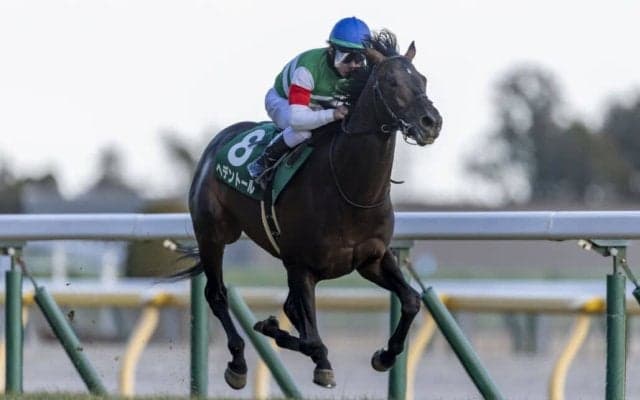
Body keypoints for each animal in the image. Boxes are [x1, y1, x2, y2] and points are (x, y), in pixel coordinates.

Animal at [173, 30, 443, 390]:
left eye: (422, 79)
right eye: (390, 81)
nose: (431, 122)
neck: (350, 190)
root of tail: (218, 141)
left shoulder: (372, 259)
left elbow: (412, 302)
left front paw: (385, 356)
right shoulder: (302, 267)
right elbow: (314, 340)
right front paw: (312, 357)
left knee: (286, 306)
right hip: (213, 234)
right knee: (217, 294)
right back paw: (238, 363)